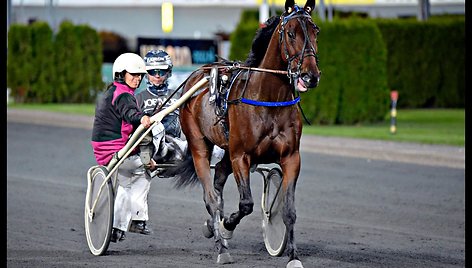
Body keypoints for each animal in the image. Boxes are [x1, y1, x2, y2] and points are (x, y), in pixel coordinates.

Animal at [170, 1, 320, 266]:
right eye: (291, 33)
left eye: (316, 32)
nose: (310, 76)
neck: (269, 100)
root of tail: (198, 74)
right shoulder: (241, 156)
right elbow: (247, 204)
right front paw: (226, 226)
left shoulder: (291, 157)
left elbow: (289, 211)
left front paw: (293, 255)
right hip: (200, 145)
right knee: (210, 195)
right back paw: (221, 246)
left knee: (219, 177)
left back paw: (213, 227)